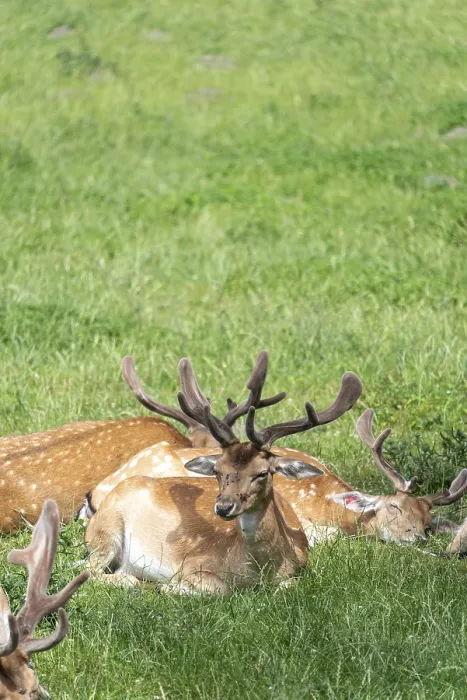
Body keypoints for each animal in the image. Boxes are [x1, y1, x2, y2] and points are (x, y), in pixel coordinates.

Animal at [84, 356, 362, 593]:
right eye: (218, 471)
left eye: (262, 473)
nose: (224, 507)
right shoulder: (193, 564)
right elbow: (218, 588)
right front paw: (170, 587)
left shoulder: (301, 568)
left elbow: (289, 584)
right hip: (106, 532)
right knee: (91, 570)